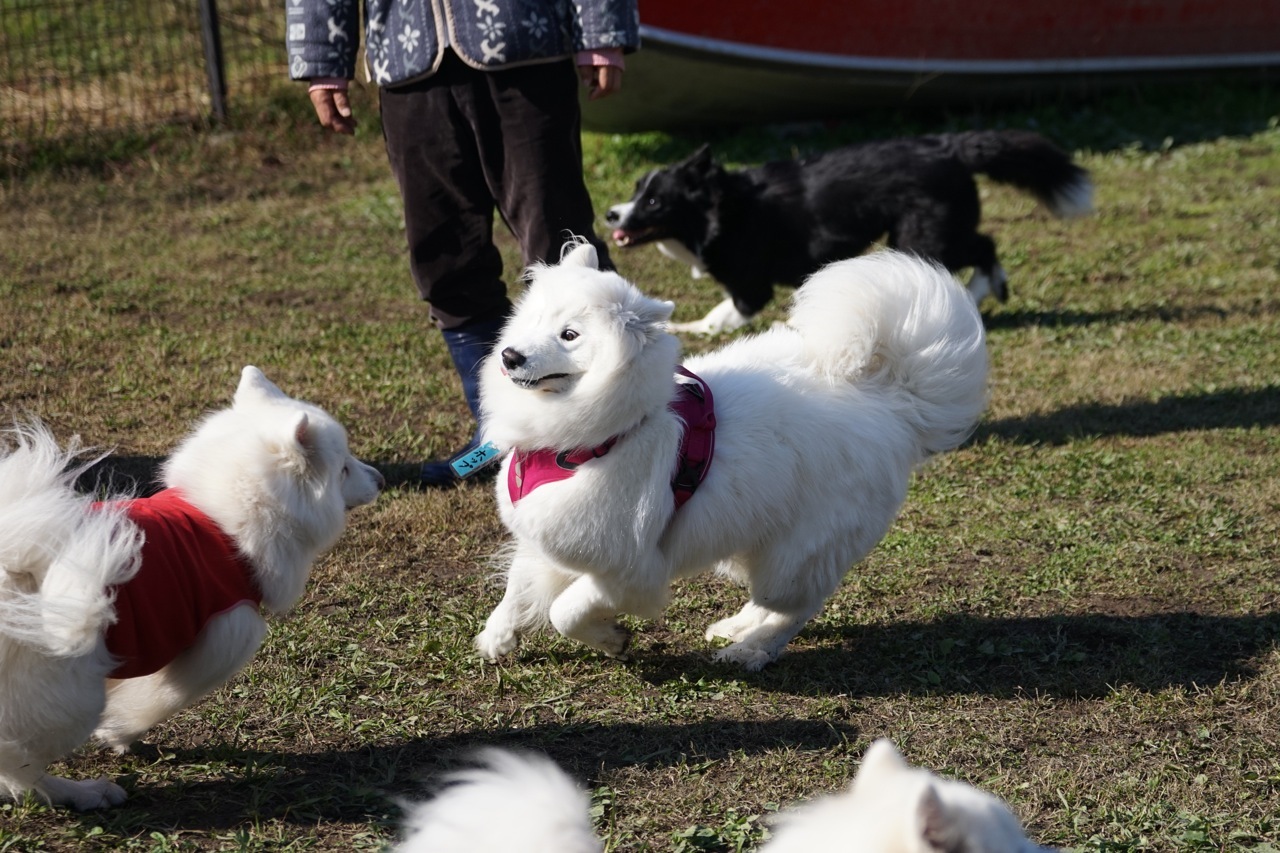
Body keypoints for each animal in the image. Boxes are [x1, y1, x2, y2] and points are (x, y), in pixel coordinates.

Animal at [0, 363, 378, 804]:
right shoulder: (222, 640)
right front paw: (117, 734)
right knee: (21, 770)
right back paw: (83, 792)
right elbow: (157, 698)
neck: (223, 524)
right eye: (344, 469)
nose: (381, 478)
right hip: (71, 695)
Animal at [476, 242, 983, 666]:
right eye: (535, 321)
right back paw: (735, 627)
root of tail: (892, 400)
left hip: (796, 552)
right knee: (770, 600)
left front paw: (610, 640)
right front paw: (497, 638)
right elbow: (517, 588)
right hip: (757, 540)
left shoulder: (631, 570)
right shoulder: (547, 531)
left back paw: (750, 651)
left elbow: (565, 611)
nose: (510, 356)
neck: (596, 439)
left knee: (795, 608)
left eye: (570, 335)